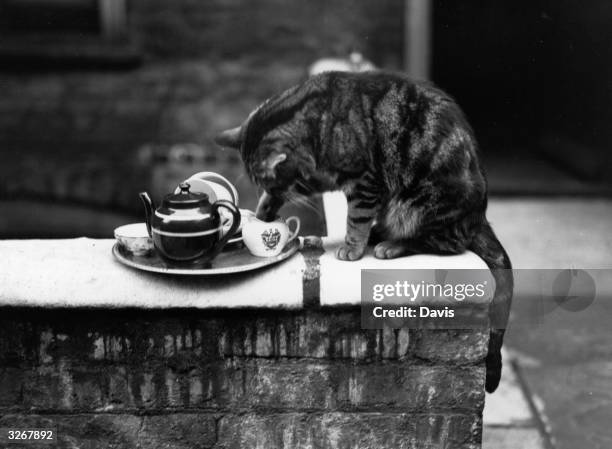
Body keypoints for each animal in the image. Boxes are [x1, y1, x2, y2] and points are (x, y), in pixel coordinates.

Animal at [215, 71, 512, 392]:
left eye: (265, 179)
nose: (266, 191)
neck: (313, 121)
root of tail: (479, 216)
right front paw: (264, 211)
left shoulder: (363, 181)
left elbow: (355, 220)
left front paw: (352, 248)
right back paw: (380, 233)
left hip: (420, 202)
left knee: (444, 241)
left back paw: (392, 245)